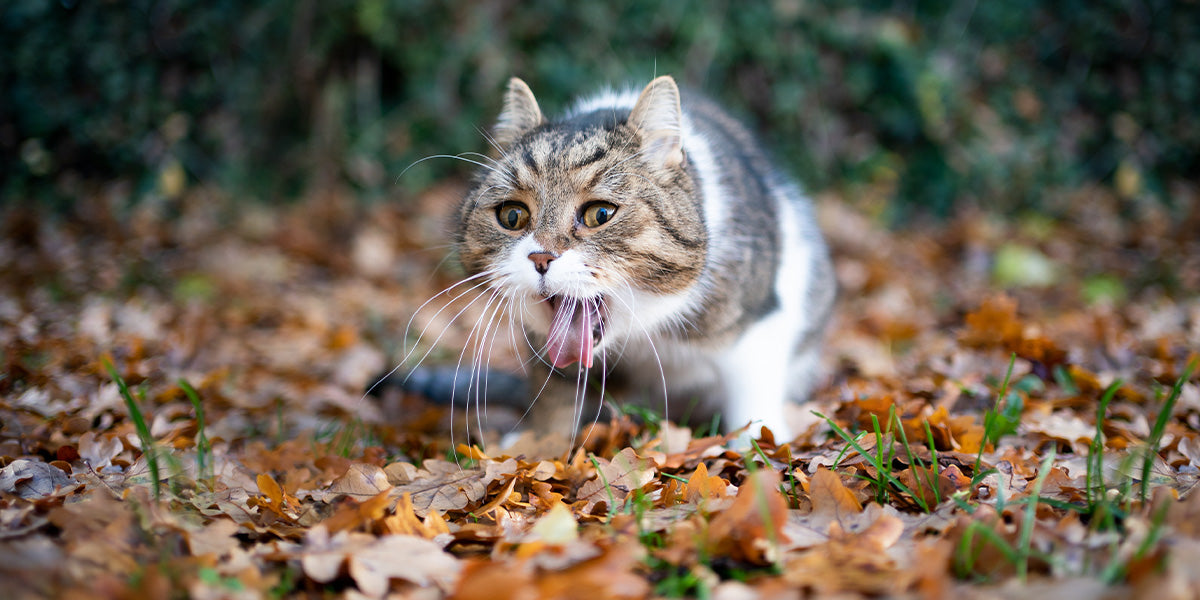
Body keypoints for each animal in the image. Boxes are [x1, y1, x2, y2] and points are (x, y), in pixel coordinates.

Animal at [408, 75, 830, 444]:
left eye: (600, 214)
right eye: (512, 216)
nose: (540, 257)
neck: (643, 331)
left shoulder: (759, 320)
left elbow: (752, 393)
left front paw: (758, 449)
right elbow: (554, 392)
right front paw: (541, 444)